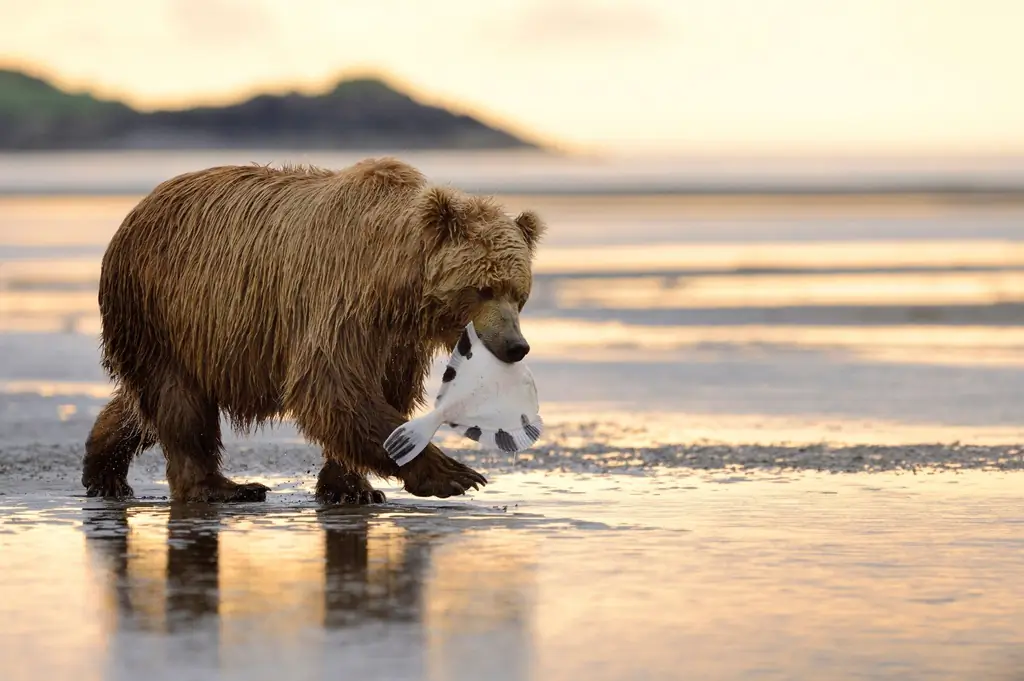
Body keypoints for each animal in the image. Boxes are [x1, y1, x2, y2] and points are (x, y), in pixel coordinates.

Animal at [80, 156, 546, 504]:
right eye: (483, 288)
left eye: (519, 293)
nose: (515, 345)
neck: (398, 285)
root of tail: (137, 208)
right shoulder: (342, 299)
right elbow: (331, 386)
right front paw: (455, 473)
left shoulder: (398, 341)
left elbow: (380, 391)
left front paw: (351, 487)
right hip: (164, 306)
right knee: (179, 402)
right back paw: (221, 487)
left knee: (149, 404)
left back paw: (103, 469)